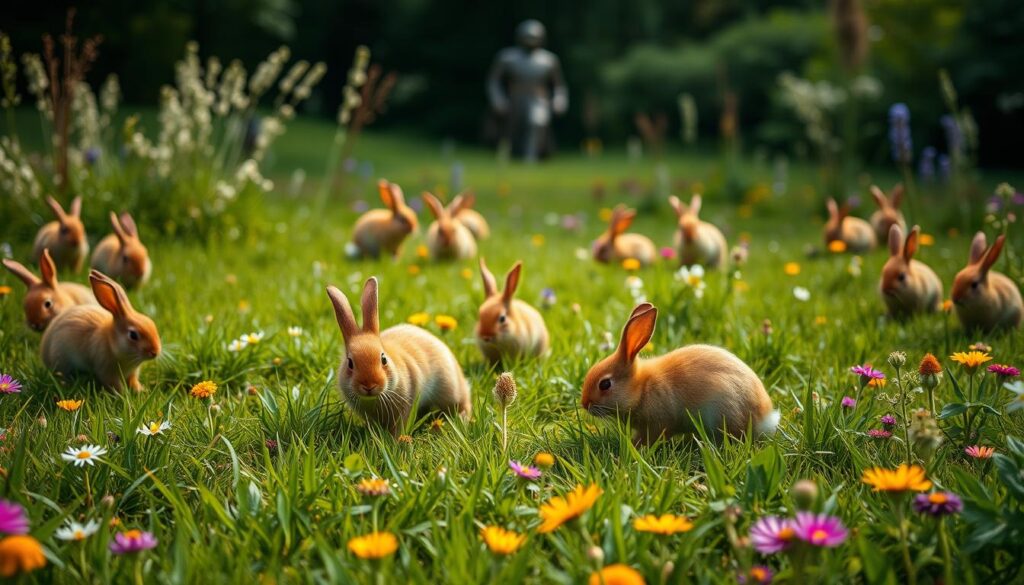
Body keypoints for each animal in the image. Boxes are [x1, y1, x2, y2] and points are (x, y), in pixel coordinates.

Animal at [327, 277, 472, 436]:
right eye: (350, 363)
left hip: (449, 389)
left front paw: (394, 440)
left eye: (383, 359)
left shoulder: (406, 406)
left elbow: (400, 426)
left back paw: (463, 419)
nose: (369, 385)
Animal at [581, 302, 778, 445]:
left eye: (605, 384)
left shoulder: (657, 423)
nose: (584, 404)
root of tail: (765, 417)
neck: (642, 387)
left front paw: (634, 447)